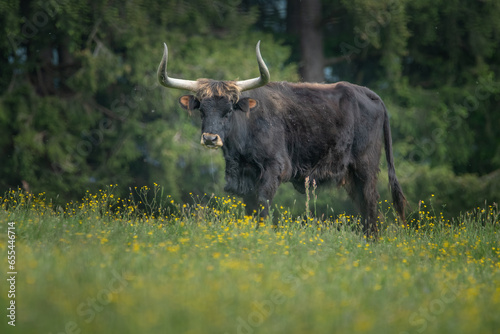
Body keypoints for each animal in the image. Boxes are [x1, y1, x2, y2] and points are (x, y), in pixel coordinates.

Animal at [157, 41, 406, 235]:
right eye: (202, 110)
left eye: (228, 110)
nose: (210, 138)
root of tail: (368, 93)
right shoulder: (245, 176)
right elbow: (250, 209)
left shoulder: (273, 168)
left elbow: (263, 204)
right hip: (351, 176)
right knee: (365, 206)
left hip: (366, 166)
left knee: (371, 202)